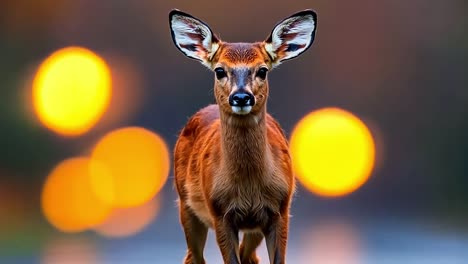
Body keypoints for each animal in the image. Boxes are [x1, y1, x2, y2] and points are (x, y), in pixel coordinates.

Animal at [170, 8, 316, 264]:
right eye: (220, 70)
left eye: (262, 70)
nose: (240, 97)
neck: (249, 187)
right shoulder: (220, 213)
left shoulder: (281, 210)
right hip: (186, 206)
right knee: (193, 257)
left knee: (249, 257)